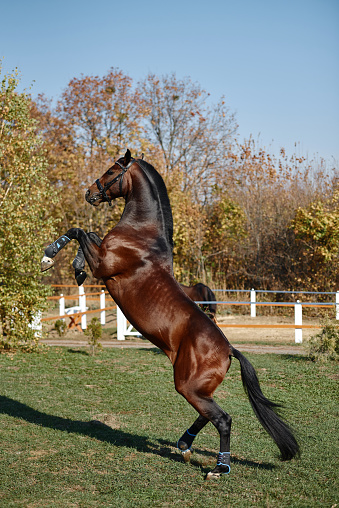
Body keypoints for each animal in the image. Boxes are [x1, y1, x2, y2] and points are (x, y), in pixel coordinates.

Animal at [41, 149, 298, 478]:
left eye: (111, 170)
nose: (89, 192)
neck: (141, 233)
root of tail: (229, 349)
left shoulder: (104, 264)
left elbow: (79, 231)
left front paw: (50, 257)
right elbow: (90, 232)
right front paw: (76, 268)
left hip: (188, 385)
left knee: (222, 418)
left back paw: (219, 467)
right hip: (196, 388)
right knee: (208, 414)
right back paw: (185, 445)